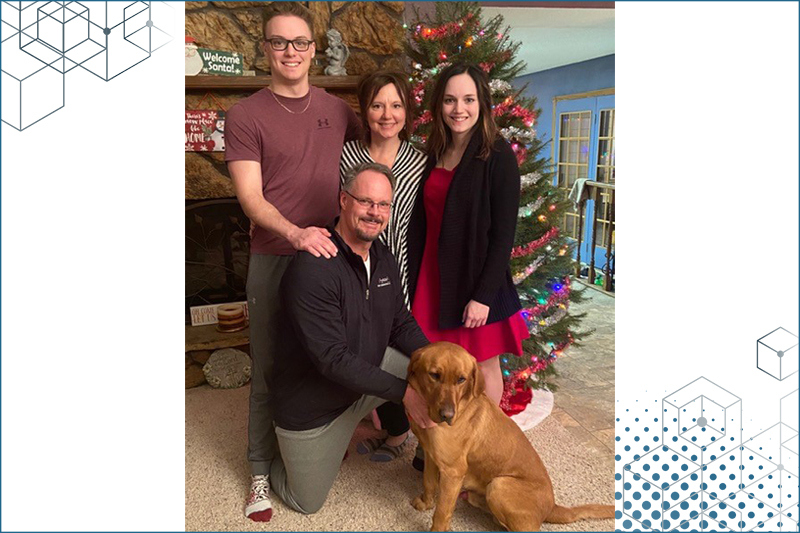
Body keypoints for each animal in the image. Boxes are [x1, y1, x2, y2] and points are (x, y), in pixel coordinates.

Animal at [406, 338, 612, 528]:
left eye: (461, 379)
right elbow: (428, 482)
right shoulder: (431, 455)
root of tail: (551, 508)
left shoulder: (453, 471)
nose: (447, 415)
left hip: (499, 485)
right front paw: (425, 503)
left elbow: (442, 512)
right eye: (434, 375)